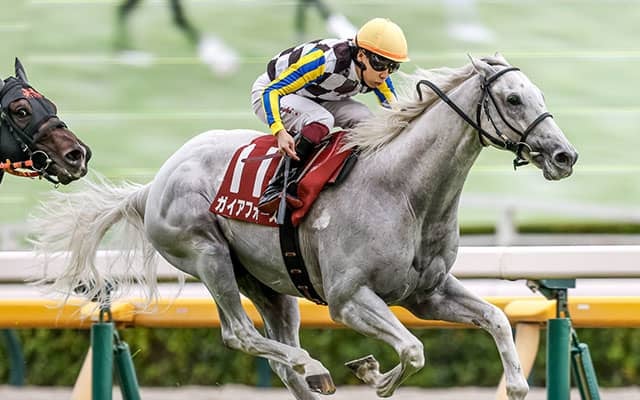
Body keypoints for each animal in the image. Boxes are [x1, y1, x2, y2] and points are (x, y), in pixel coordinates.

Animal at [31, 54, 577, 400]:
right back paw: (314, 366)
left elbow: (497, 320)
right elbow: (413, 349)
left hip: (271, 284)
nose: (564, 156)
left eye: (537, 93)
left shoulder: (428, 292)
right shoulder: (348, 299)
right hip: (208, 256)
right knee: (241, 336)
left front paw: (515, 382)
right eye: (512, 99)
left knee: (280, 357)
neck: (404, 190)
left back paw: (309, 373)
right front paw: (373, 373)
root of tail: (152, 186)